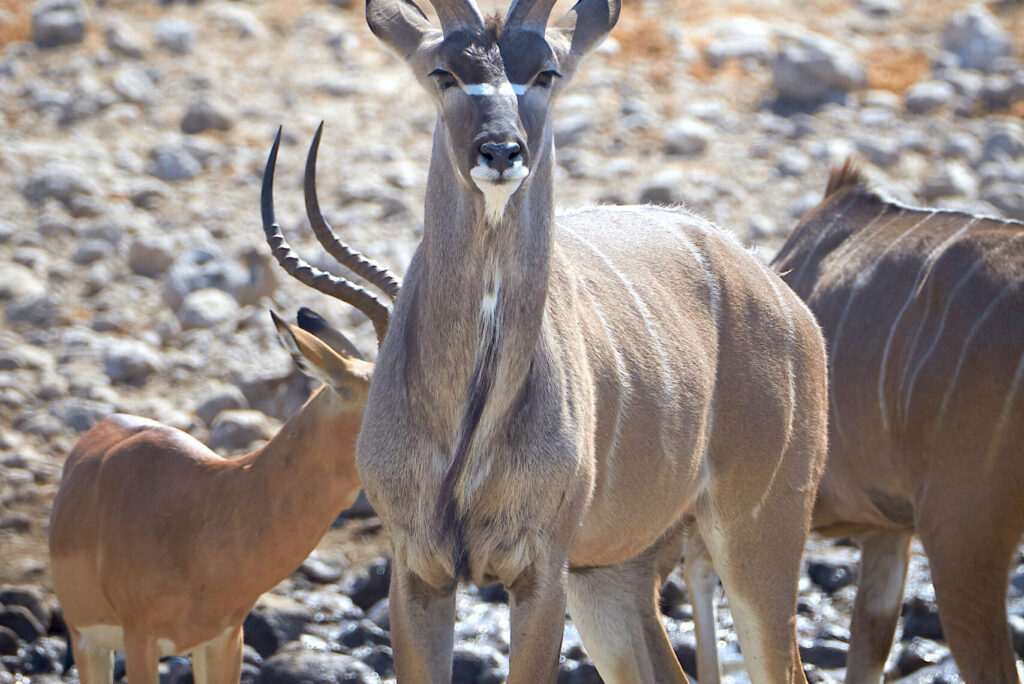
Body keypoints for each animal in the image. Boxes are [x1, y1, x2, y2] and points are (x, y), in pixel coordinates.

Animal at [337, 0, 831, 678]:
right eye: (443, 73)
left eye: (546, 73)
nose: (501, 150)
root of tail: (791, 305)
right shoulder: (418, 570)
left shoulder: (541, 569)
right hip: (612, 573)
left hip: (759, 532)